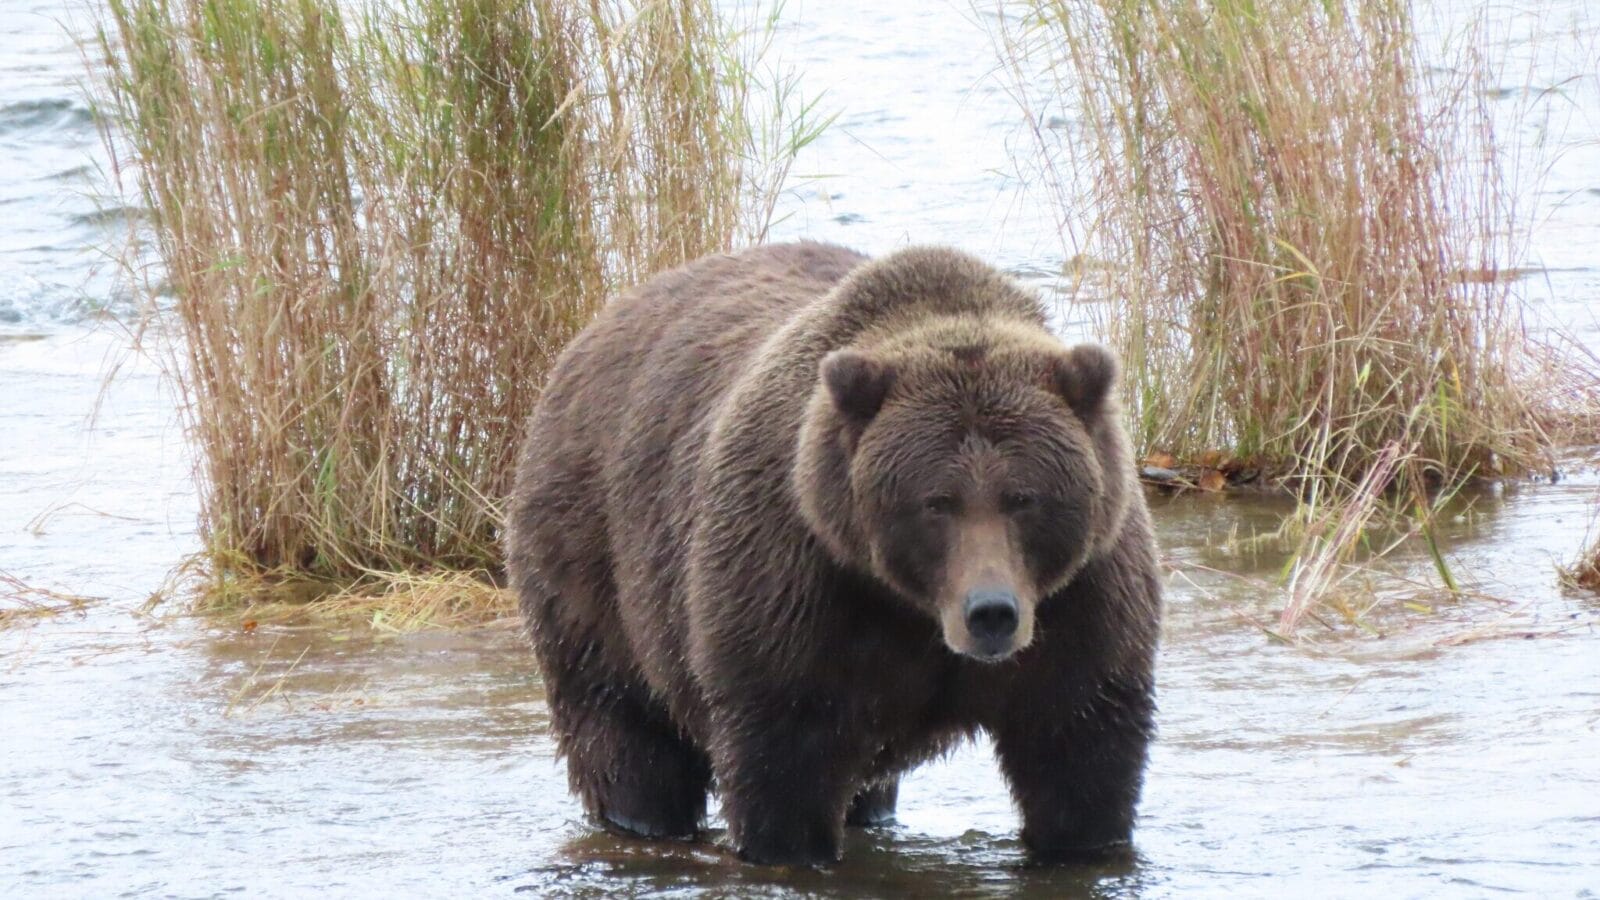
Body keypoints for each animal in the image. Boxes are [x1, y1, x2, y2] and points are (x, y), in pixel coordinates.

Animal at [505, 241, 1163, 866]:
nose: (991, 613)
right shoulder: (795, 584)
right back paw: (640, 817)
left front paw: (1081, 841)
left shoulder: (1083, 601)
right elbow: (786, 764)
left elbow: (1079, 756)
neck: (911, 608)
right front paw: (789, 846)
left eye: (1024, 498)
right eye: (937, 501)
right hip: (594, 563)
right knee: (624, 730)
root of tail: (597, 327)